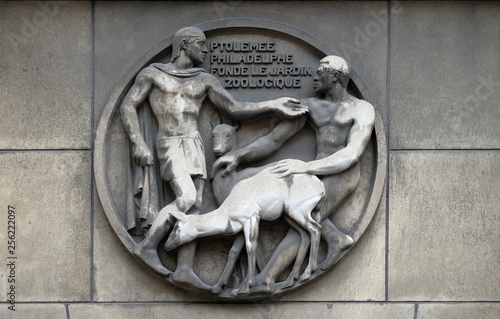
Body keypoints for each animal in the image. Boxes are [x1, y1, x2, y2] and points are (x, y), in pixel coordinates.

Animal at [166, 168, 326, 298]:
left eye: (177, 226)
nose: (167, 244)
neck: (229, 207)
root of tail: (319, 184)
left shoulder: (251, 219)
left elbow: (251, 248)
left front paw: (247, 287)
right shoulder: (241, 228)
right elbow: (234, 252)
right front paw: (229, 289)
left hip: (296, 212)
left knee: (315, 228)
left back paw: (307, 273)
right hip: (289, 216)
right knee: (305, 235)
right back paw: (290, 280)